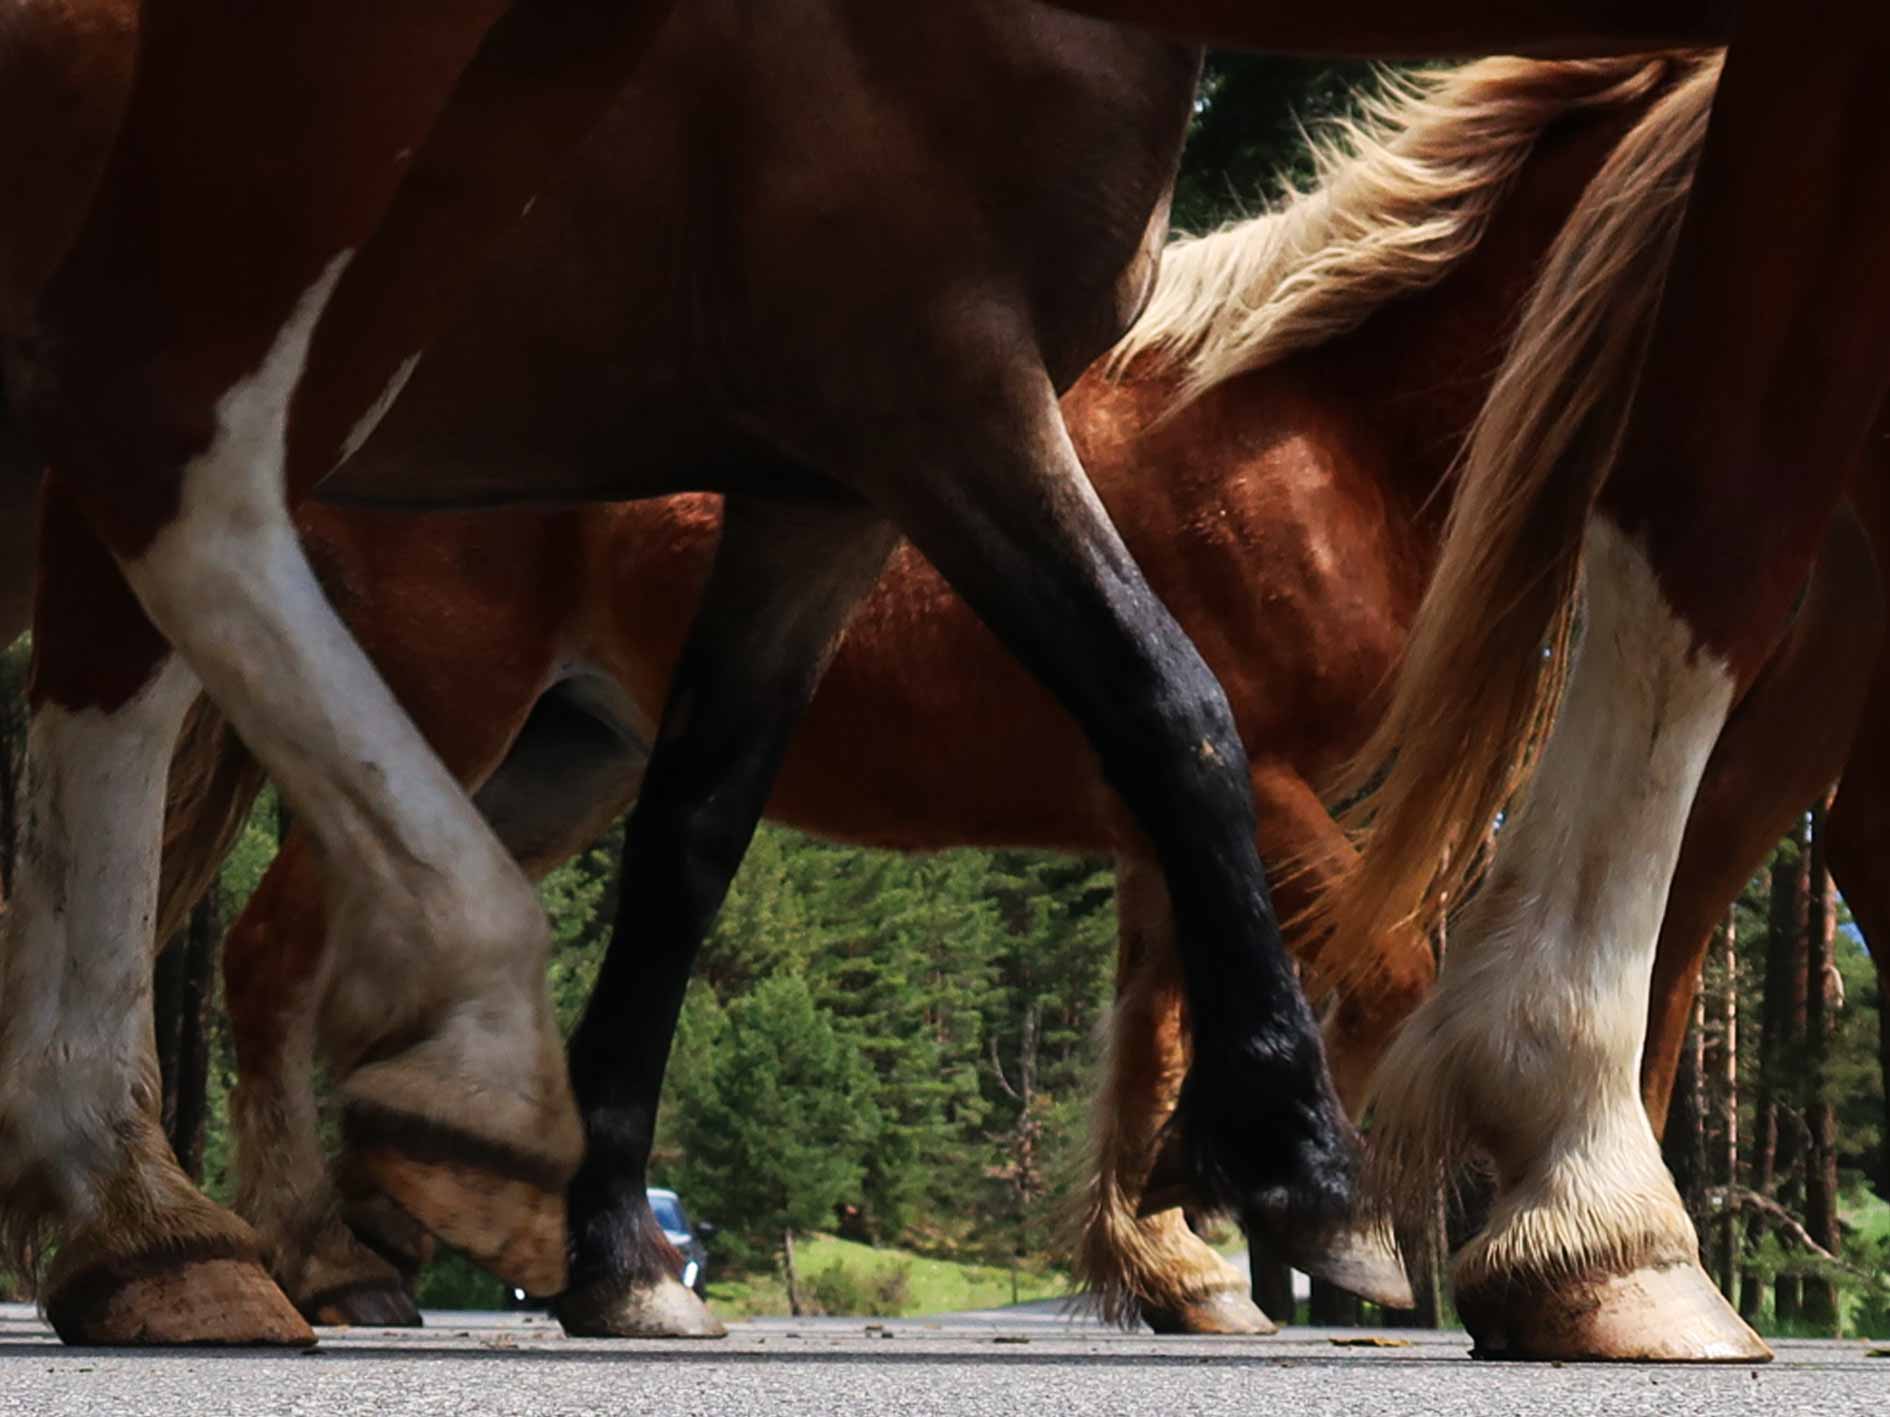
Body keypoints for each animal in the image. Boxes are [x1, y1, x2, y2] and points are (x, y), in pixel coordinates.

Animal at [0, 0, 1859, 1355]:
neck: (1308, 432)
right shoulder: (1245, 763)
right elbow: (1356, 944)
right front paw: (1341, 1212)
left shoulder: (1154, 829)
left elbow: (1153, 1022)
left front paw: (1189, 1240)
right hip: (446, 709)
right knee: (269, 945)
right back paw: (301, 1245)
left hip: (558, 762)